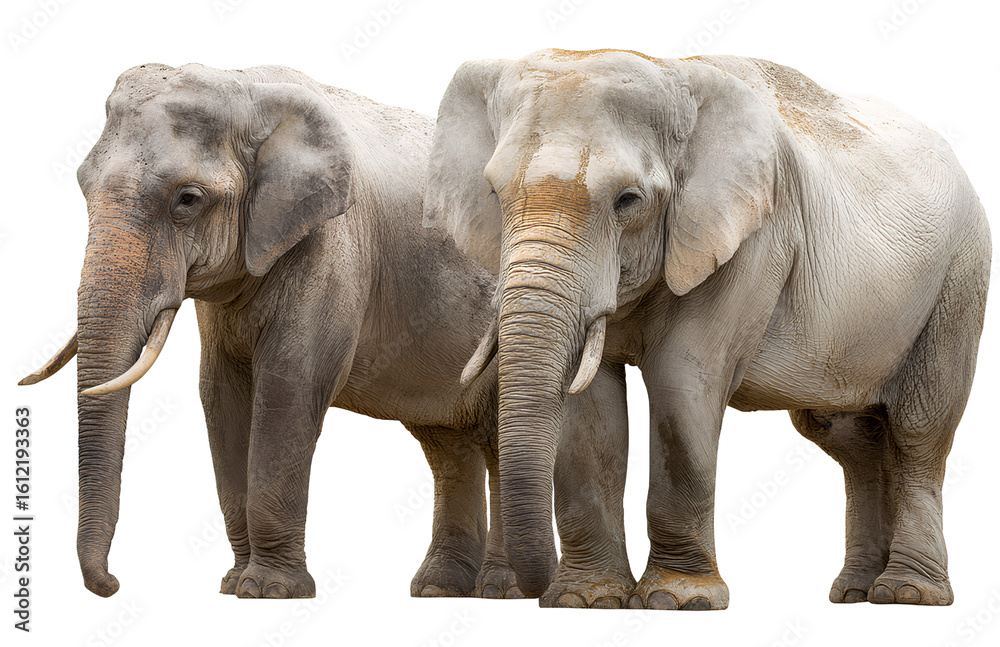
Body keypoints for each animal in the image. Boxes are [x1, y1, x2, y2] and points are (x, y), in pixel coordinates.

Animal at [17, 62, 550, 600]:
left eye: (187, 199)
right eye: (83, 186)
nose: (112, 583)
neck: (248, 87)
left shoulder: (332, 246)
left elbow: (289, 386)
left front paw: (268, 590)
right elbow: (221, 394)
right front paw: (234, 584)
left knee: (493, 436)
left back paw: (501, 589)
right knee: (446, 445)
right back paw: (439, 589)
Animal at [424, 49, 991, 609]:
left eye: (628, 200)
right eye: (494, 193)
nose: (529, 592)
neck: (672, 72)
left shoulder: (754, 237)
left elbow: (682, 381)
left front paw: (676, 600)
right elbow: (589, 409)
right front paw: (584, 601)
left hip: (960, 282)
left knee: (919, 432)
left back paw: (907, 593)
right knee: (850, 439)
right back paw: (855, 592)